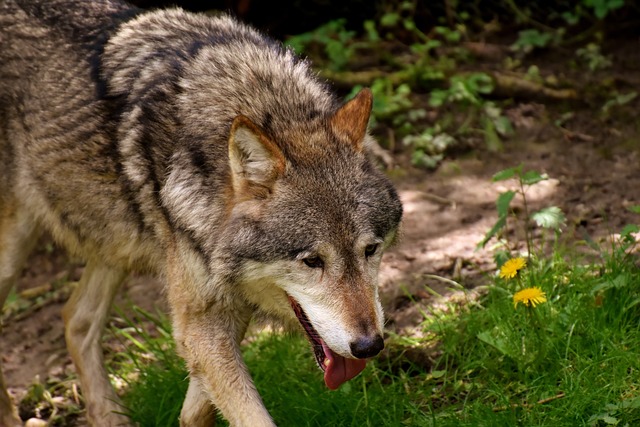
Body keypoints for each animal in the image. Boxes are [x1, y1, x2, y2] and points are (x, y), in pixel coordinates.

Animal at [0, 0, 400, 426]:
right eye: (312, 261)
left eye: (370, 250)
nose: (369, 345)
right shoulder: (200, 318)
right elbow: (249, 414)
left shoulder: (222, 309)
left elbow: (197, 409)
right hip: (17, 250)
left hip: (116, 244)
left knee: (76, 318)